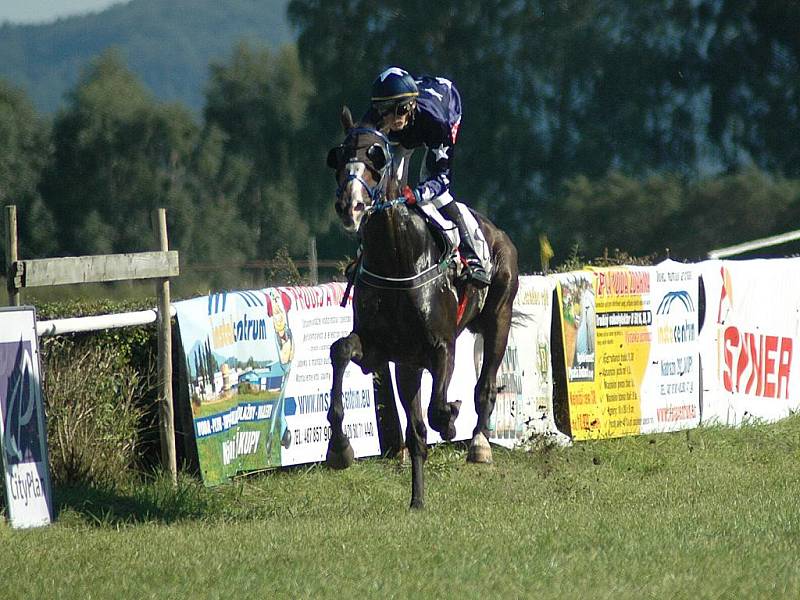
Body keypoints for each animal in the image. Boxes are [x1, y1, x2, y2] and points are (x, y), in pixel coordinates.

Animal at [324, 106, 520, 506]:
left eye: (376, 156)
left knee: (486, 385)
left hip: (499, 317)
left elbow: (437, 407)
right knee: (416, 429)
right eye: (338, 156)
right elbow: (341, 350)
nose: (350, 205)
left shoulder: (442, 346)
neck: (398, 259)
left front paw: (451, 418)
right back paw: (417, 500)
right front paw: (339, 448)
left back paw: (479, 444)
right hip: (408, 364)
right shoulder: (381, 349)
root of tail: (497, 233)